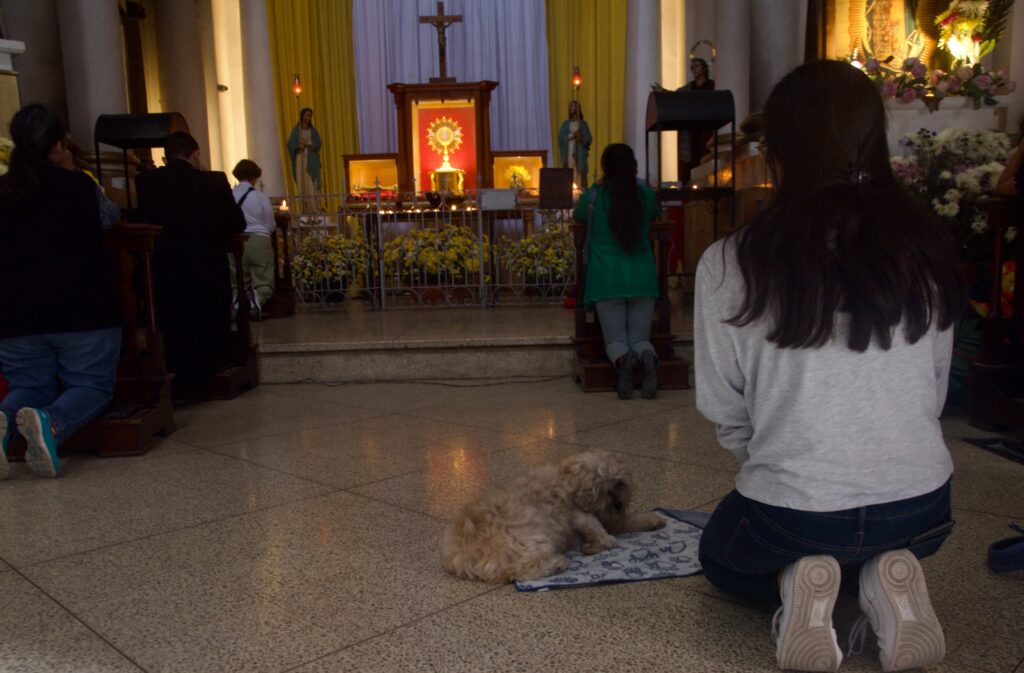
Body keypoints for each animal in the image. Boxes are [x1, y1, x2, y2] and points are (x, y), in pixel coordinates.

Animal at [440, 448, 663, 581]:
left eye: (619, 484)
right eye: (602, 491)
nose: (618, 505)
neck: (565, 481)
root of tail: (463, 553)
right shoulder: (582, 515)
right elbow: (610, 529)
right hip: (532, 538)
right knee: (522, 570)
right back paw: (557, 563)